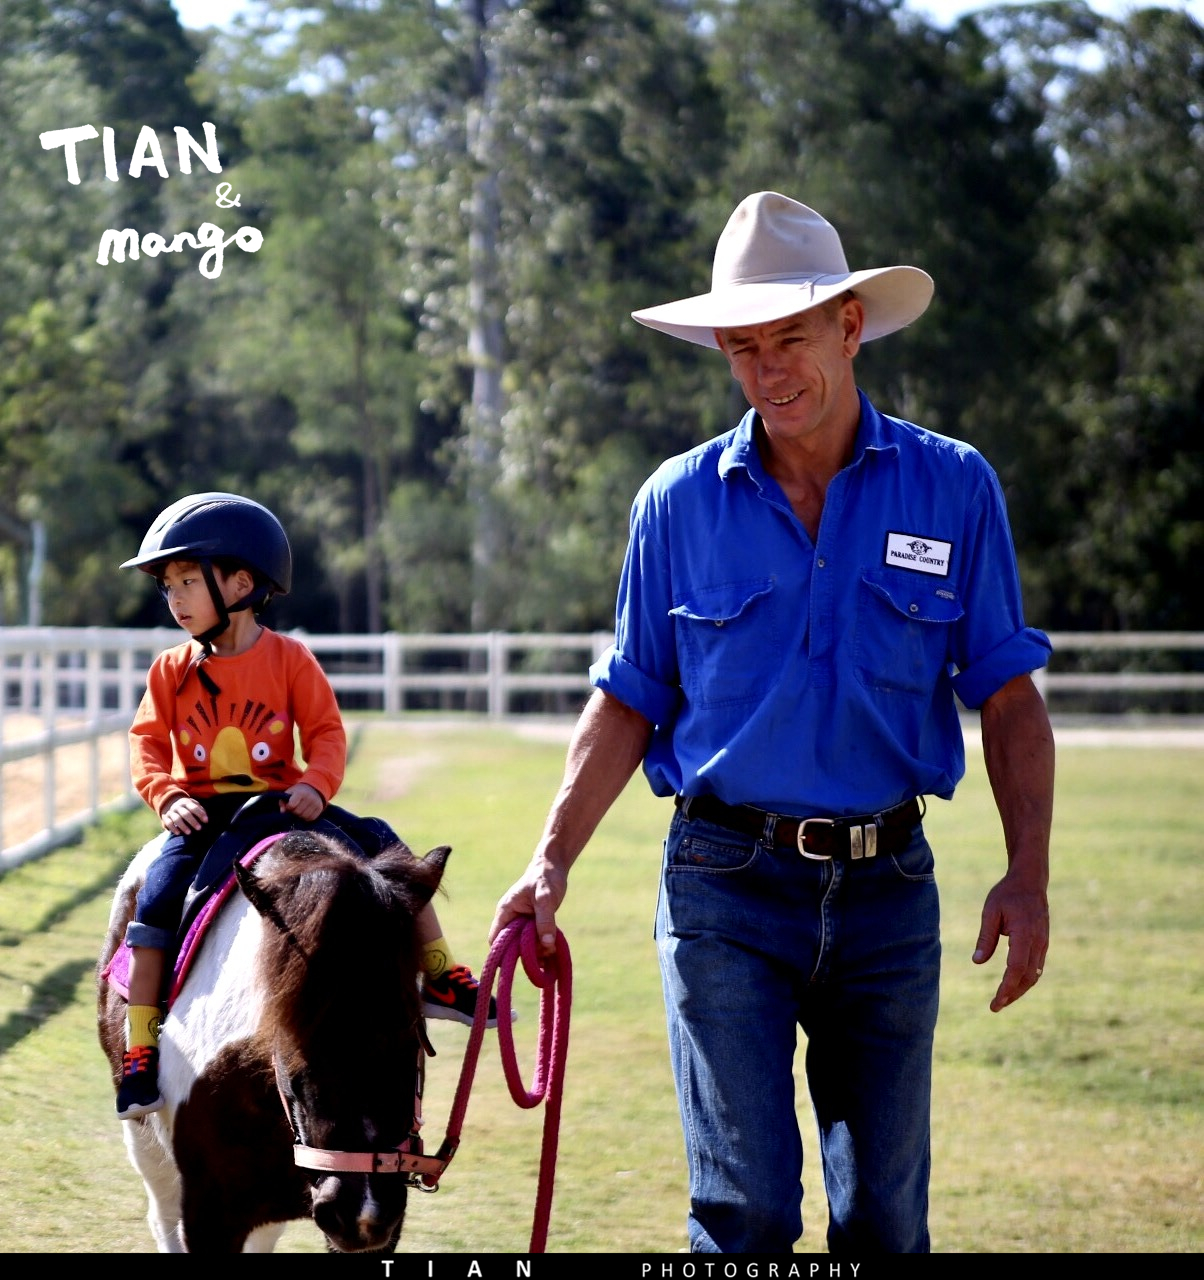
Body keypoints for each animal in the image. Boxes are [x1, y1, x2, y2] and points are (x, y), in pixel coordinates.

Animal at [98, 819, 450, 1249]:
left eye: (410, 1032)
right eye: (291, 1038)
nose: (361, 1212)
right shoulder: (208, 1213)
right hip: (145, 1140)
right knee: (161, 1212)